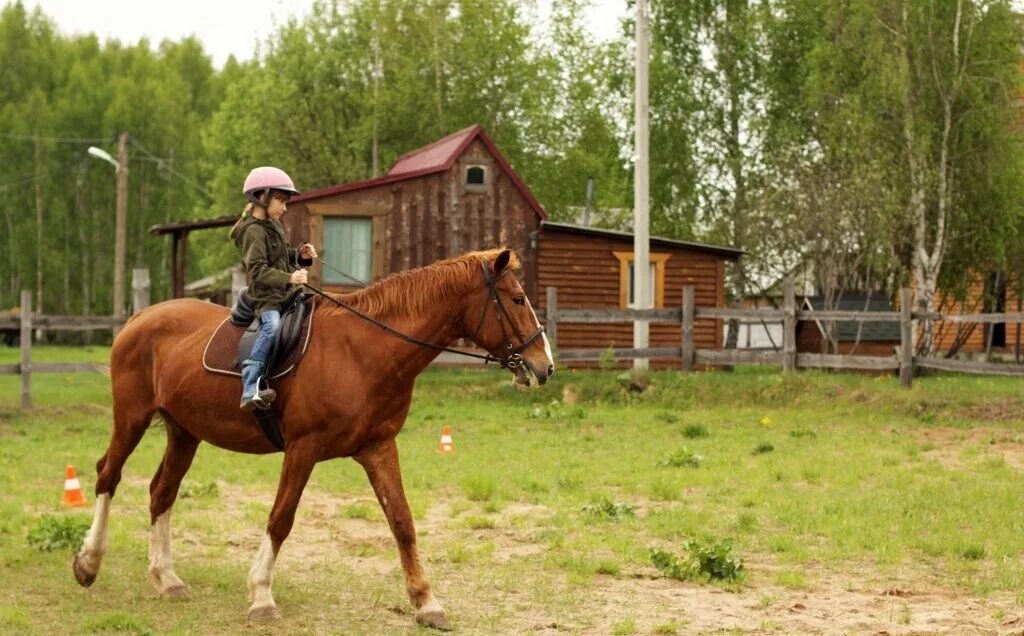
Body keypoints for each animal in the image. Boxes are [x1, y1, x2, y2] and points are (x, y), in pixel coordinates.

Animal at [73, 246, 557, 626]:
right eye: (517, 299)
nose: (545, 366)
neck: (363, 352)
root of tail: (140, 317)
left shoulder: (378, 448)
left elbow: (402, 522)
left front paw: (426, 602)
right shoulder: (302, 449)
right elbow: (281, 519)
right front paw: (262, 596)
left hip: (184, 432)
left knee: (161, 492)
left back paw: (167, 579)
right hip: (131, 418)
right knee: (108, 476)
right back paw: (88, 563)